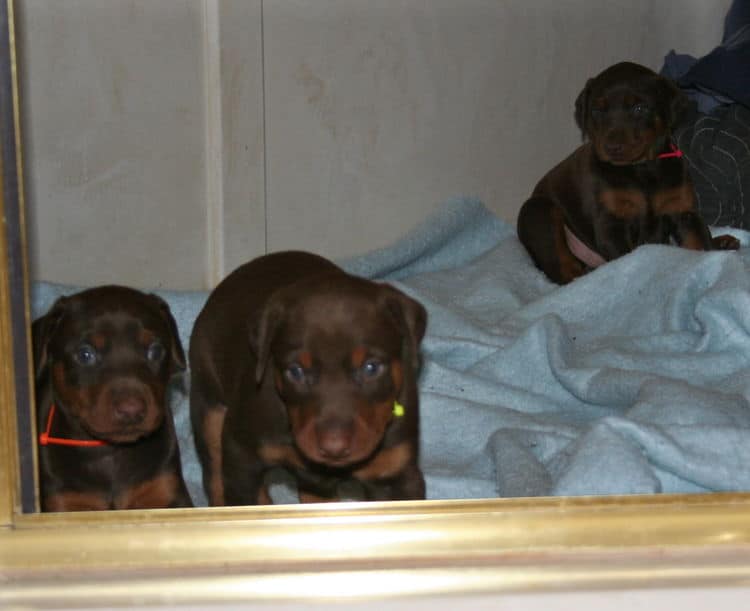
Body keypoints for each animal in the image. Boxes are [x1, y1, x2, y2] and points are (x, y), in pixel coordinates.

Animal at [33, 286, 192, 512]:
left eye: (155, 350)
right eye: (85, 354)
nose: (131, 410)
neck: (109, 452)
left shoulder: (165, 490)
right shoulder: (65, 501)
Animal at [189, 251, 428, 504]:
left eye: (371, 368)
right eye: (296, 371)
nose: (334, 448)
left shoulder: (395, 472)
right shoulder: (241, 456)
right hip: (209, 405)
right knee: (214, 473)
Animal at [516, 61, 740, 286]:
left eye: (639, 108)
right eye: (597, 110)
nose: (612, 147)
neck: (641, 168)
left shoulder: (683, 210)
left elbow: (699, 244)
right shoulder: (611, 222)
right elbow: (627, 258)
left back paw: (723, 241)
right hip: (539, 211)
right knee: (564, 270)